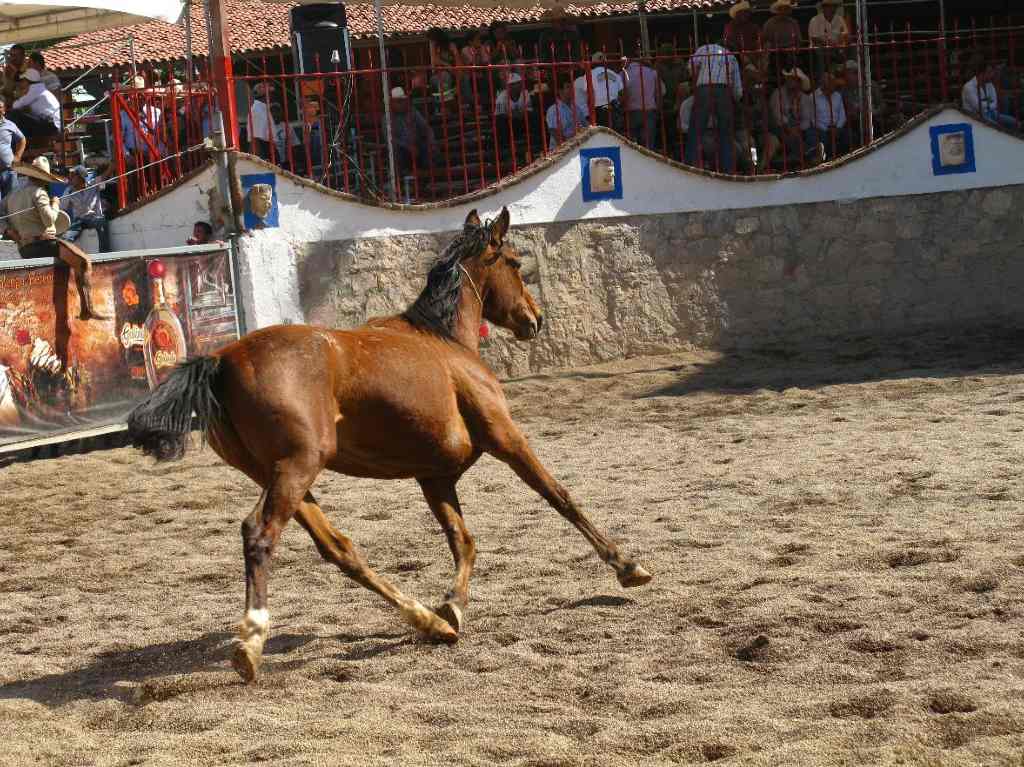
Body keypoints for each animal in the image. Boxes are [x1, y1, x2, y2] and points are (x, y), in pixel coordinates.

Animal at [128, 206, 651, 679]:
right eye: (517, 263)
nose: (535, 320)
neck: (446, 343)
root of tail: (221, 360)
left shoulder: (434, 475)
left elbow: (463, 540)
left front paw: (452, 606)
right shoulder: (506, 439)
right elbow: (559, 497)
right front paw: (627, 566)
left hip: (280, 476)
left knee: (339, 549)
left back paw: (429, 623)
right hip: (297, 467)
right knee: (259, 534)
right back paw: (250, 643)